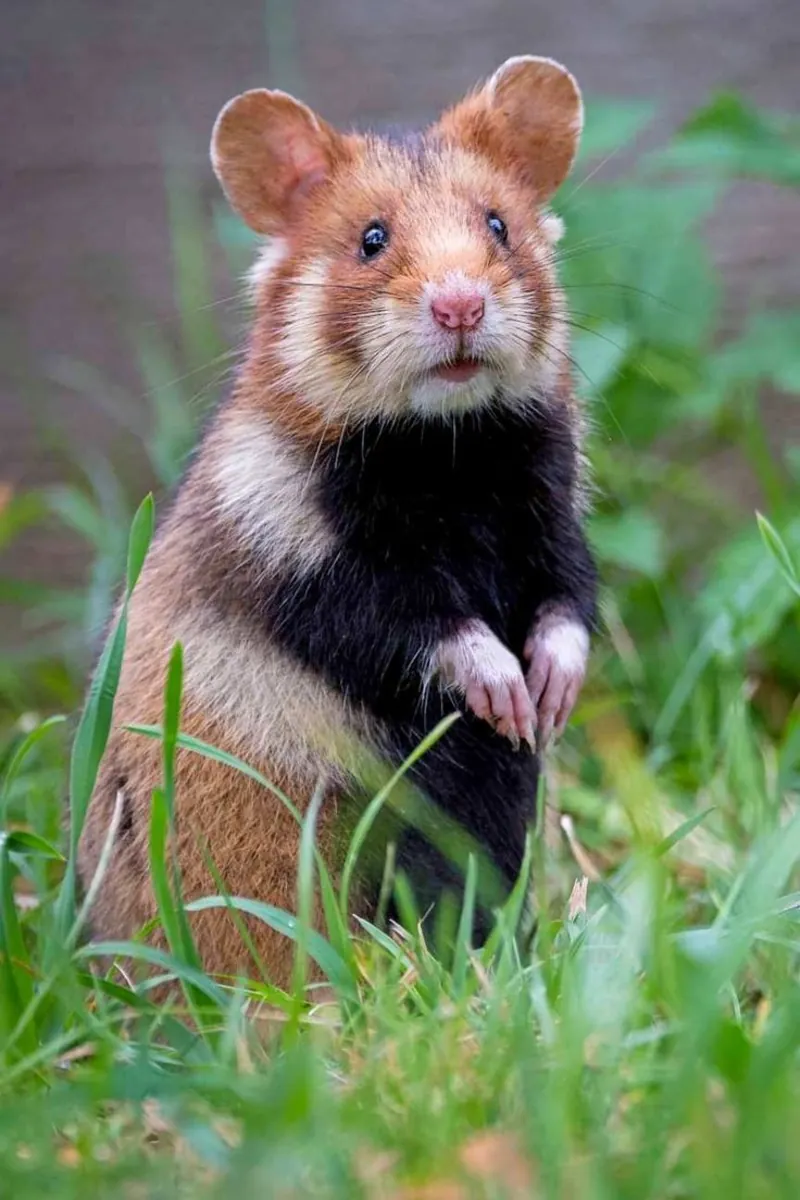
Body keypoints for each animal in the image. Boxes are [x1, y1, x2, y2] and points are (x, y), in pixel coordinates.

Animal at [78, 55, 598, 986]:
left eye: (498, 225)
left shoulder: (554, 526)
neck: (450, 453)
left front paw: (547, 702)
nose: (460, 306)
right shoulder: (321, 574)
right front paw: (506, 697)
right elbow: (431, 630)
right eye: (371, 239)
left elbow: (566, 609)